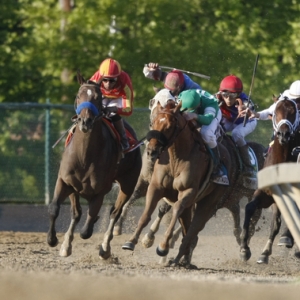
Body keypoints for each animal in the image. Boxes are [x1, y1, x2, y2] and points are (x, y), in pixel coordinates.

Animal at [46, 71, 142, 258]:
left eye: (98, 98)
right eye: (78, 95)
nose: (85, 121)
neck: (84, 156)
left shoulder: (100, 191)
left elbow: (87, 228)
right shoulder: (66, 182)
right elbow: (56, 209)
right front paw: (54, 240)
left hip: (128, 184)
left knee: (115, 212)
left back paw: (105, 247)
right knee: (78, 213)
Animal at [120, 101, 264, 268]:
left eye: (169, 126)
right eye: (152, 123)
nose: (151, 151)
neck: (176, 158)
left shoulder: (188, 191)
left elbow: (176, 210)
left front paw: (163, 246)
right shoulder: (155, 187)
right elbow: (147, 214)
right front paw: (132, 241)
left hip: (213, 202)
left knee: (194, 229)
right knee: (190, 229)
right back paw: (181, 258)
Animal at [239, 97, 300, 264]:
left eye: (294, 111)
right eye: (275, 111)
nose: (284, 134)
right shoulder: (268, 194)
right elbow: (250, 208)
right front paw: (245, 248)